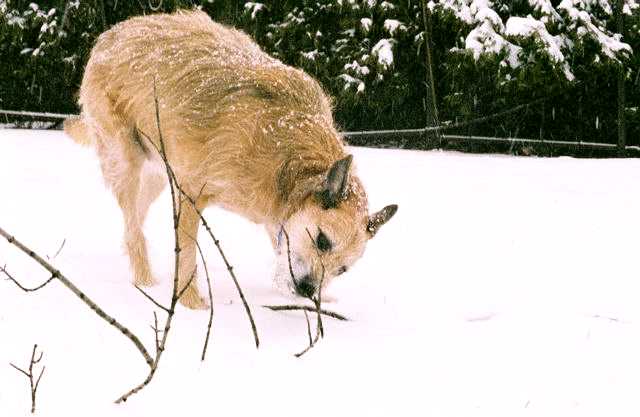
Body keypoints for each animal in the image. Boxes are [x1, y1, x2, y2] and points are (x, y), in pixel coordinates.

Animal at [65, 9, 396, 308]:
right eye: (322, 240)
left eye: (343, 269)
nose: (307, 290)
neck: (287, 164)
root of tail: (111, 34)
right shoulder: (191, 196)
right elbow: (187, 255)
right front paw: (191, 305)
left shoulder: (276, 219)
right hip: (127, 161)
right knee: (133, 226)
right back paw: (145, 281)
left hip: (156, 173)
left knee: (133, 221)